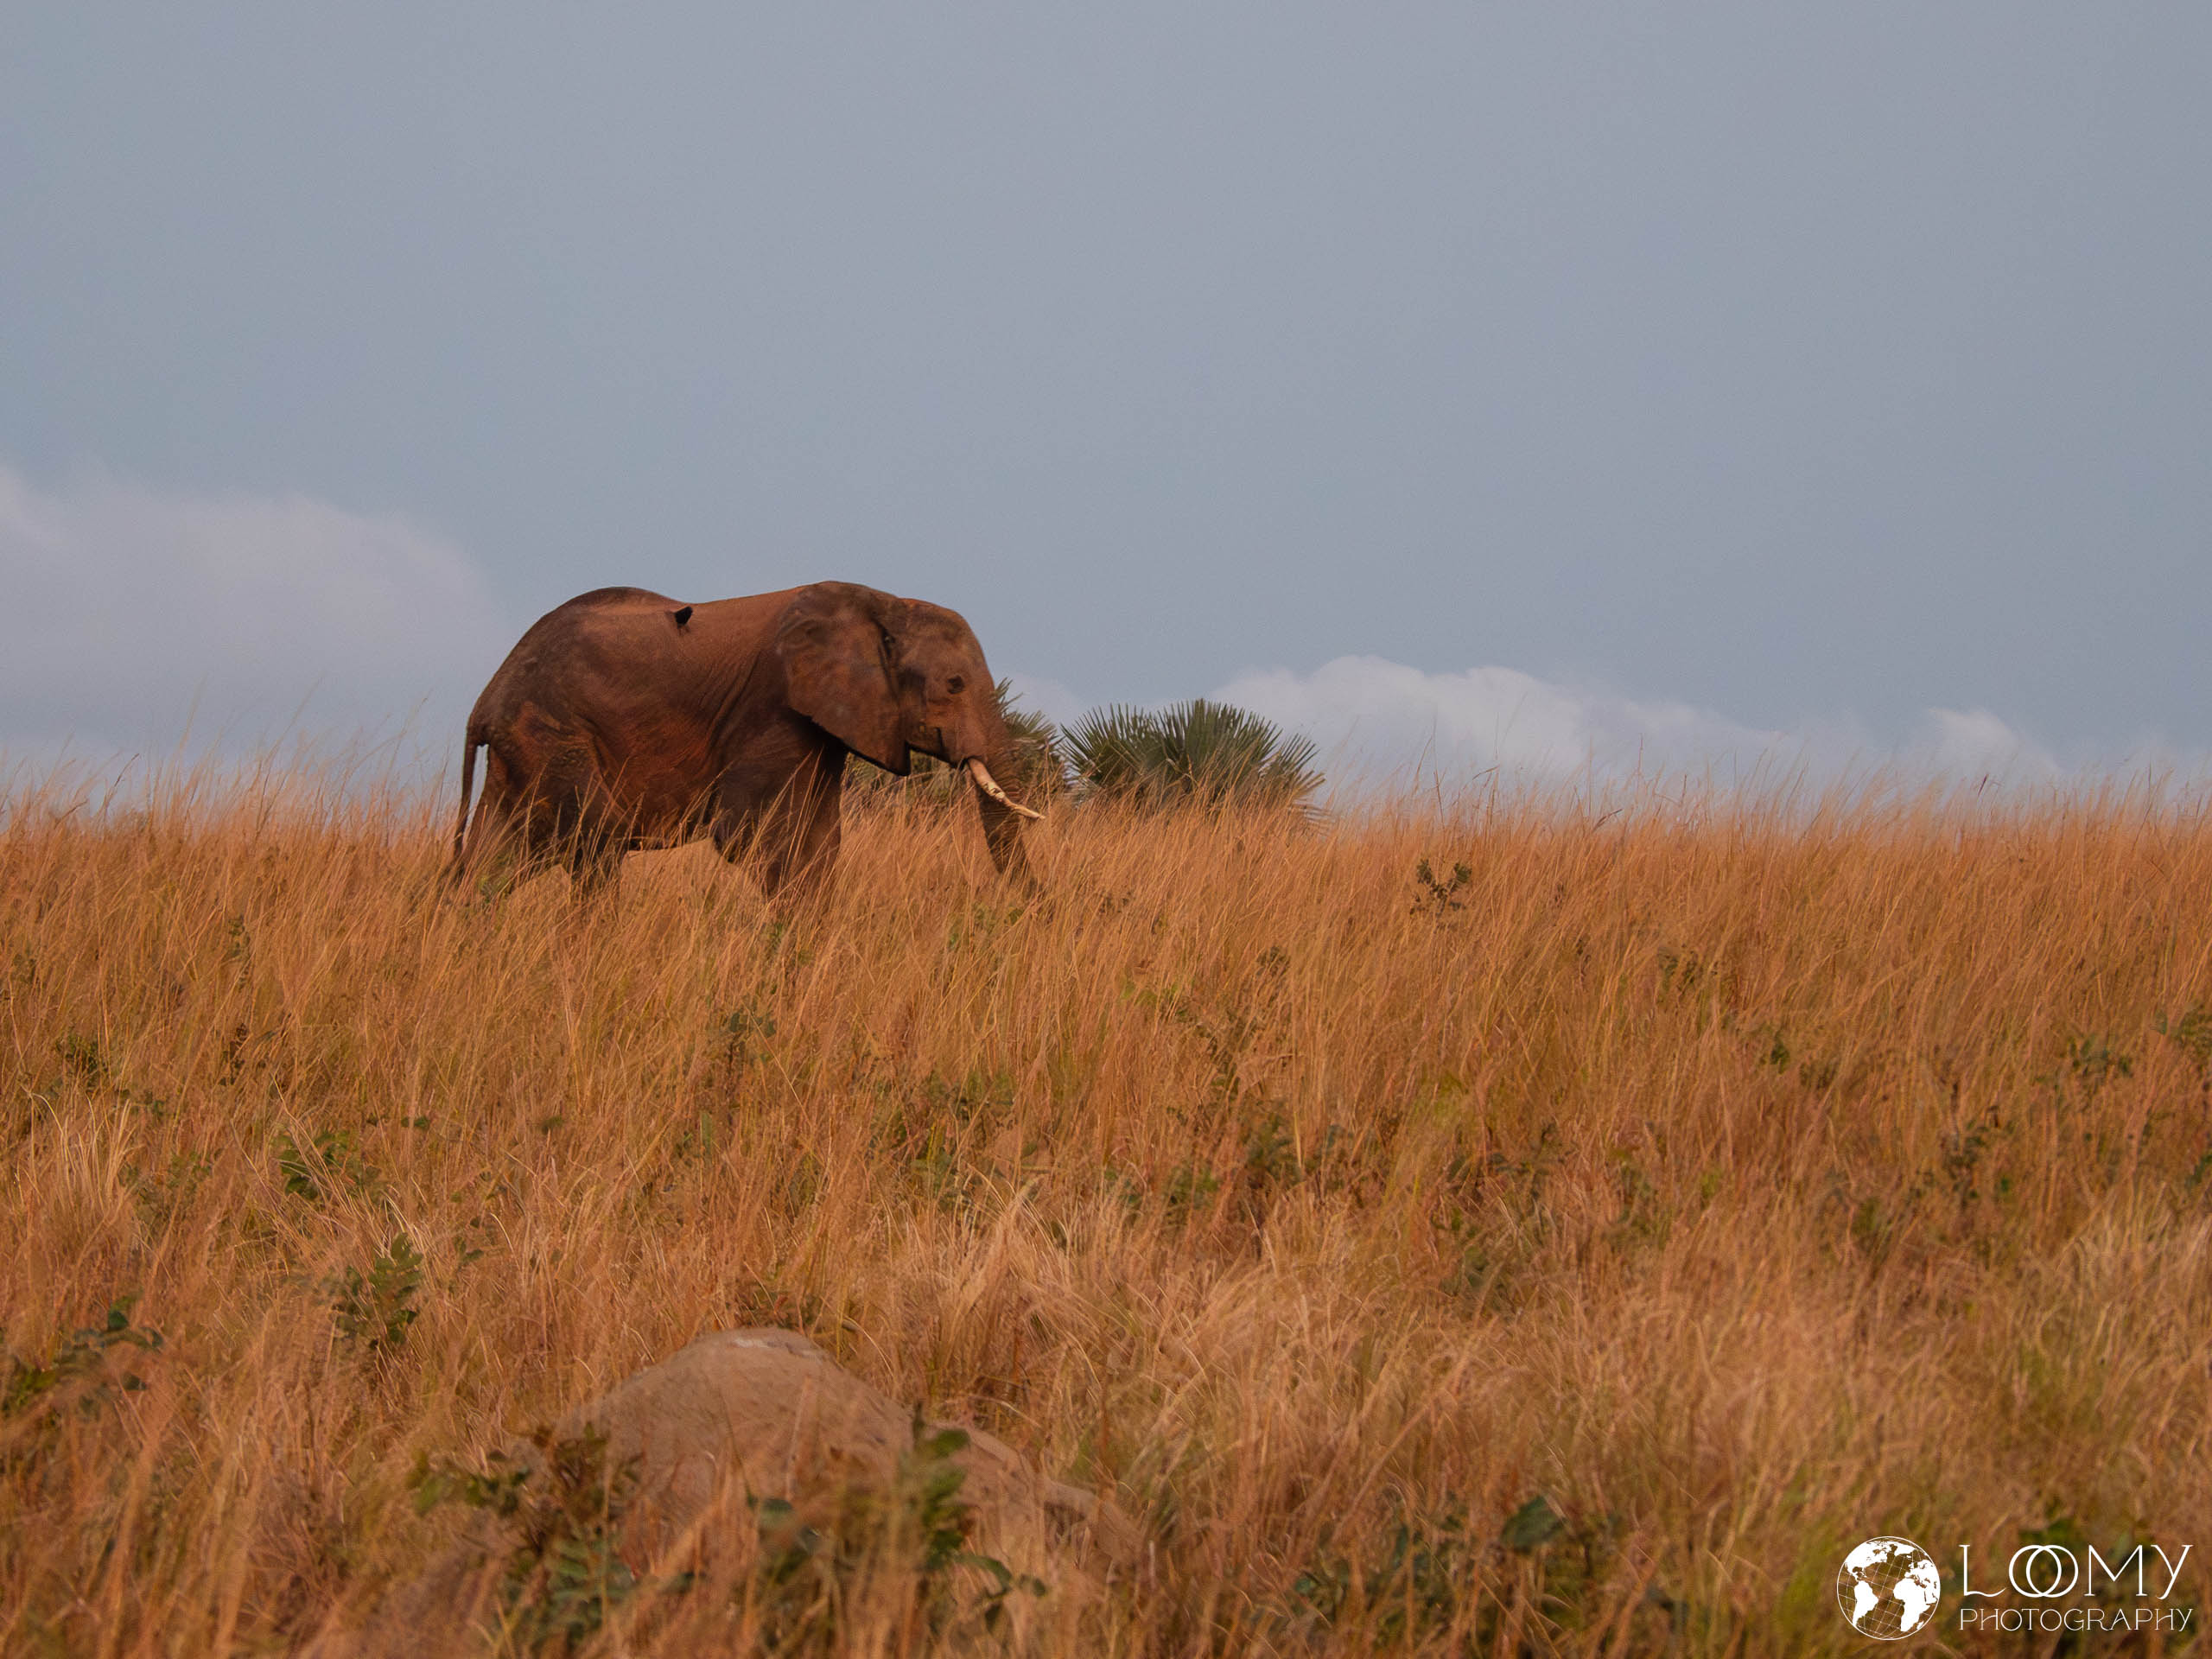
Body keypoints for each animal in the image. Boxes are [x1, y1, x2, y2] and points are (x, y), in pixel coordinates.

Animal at [446, 581, 1042, 900]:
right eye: (955, 684)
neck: (881, 602)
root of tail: (484, 702)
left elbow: (821, 842)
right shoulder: (772, 707)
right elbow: (752, 836)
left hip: (525, 750)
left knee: (495, 861)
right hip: (552, 731)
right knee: (596, 845)